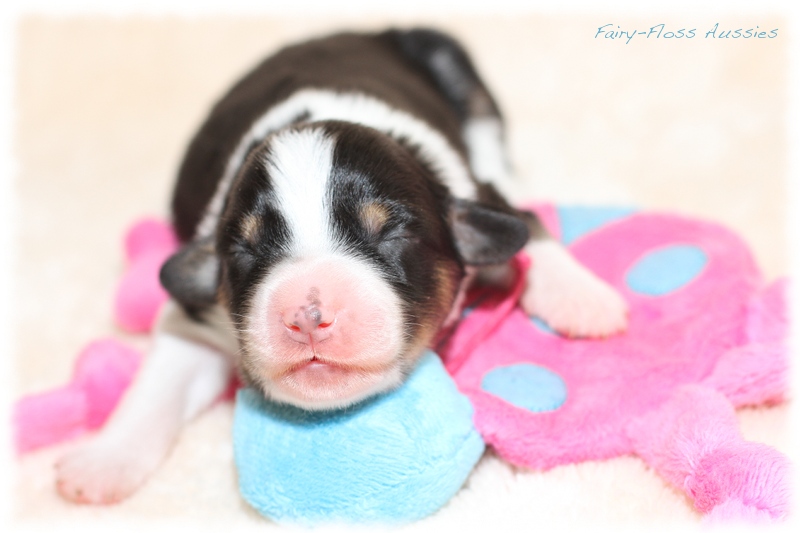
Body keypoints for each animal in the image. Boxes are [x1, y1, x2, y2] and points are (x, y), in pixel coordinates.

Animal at [56, 28, 632, 502]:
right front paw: (100, 463)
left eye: (390, 233)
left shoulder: (476, 191)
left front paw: (583, 300)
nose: (308, 316)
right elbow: (159, 383)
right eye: (245, 251)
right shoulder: (196, 315)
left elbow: (526, 225)